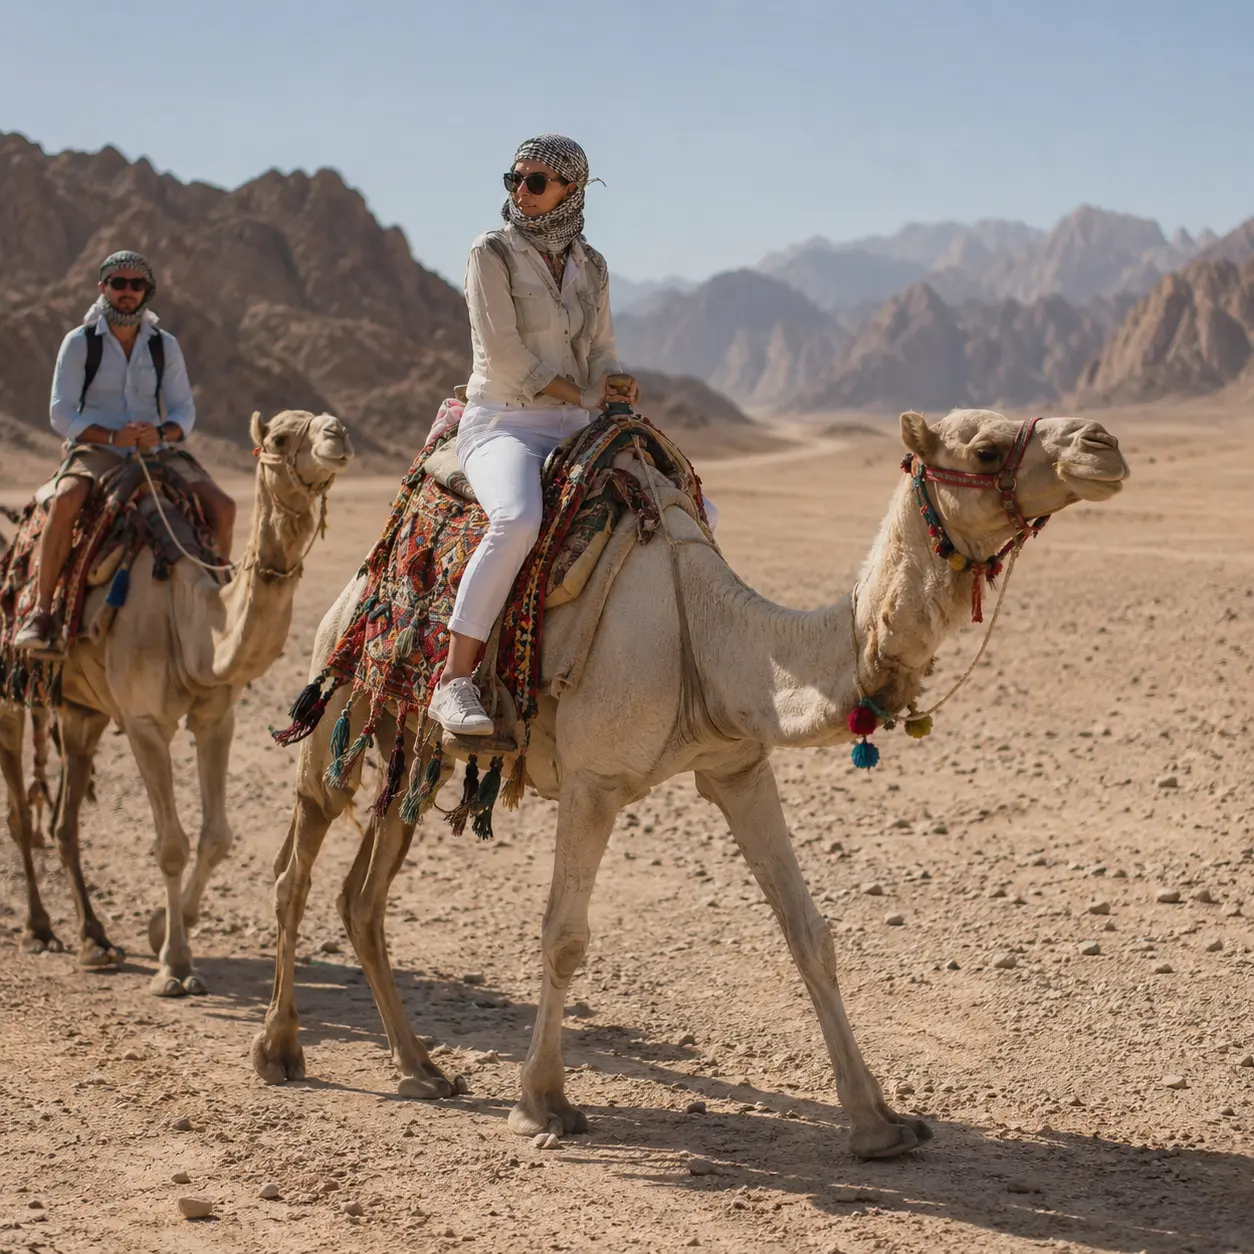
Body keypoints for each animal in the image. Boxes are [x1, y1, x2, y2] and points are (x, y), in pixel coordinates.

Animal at [10, 410, 353, 997]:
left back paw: (94, 940)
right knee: (17, 813)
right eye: (281, 437)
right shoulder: (145, 722)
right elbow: (170, 844)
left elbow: (217, 837)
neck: (188, 619)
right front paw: (174, 964)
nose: (338, 434)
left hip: (82, 713)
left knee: (63, 822)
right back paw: (38, 929)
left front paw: (160, 930)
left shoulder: (217, 718)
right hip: (11, 700)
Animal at [251, 408, 1128, 1160]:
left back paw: (421, 1068)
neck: (705, 633)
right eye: (984, 448)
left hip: (413, 747)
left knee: (363, 897)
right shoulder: (594, 781)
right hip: (341, 703)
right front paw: (543, 1104)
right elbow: (564, 936)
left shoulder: (738, 767)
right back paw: (280, 1050)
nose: (1104, 444)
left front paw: (878, 1122)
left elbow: (809, 933)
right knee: (296, 866)